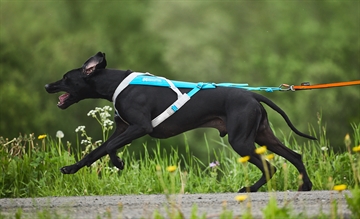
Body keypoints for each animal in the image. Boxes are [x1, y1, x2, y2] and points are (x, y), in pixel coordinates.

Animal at [45, 52, 316, 192]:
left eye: (66, 78)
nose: (47, 85)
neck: (116, 84)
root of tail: (253, 95)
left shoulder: (140, 127)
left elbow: (105, 149)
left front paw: (107, 164)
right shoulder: (123, 128)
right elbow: (102, 149)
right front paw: (85, 166)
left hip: (242, 142)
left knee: (270, 166)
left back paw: (249, 190)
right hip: (262, 134)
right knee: (295, 156)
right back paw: (306, 185)